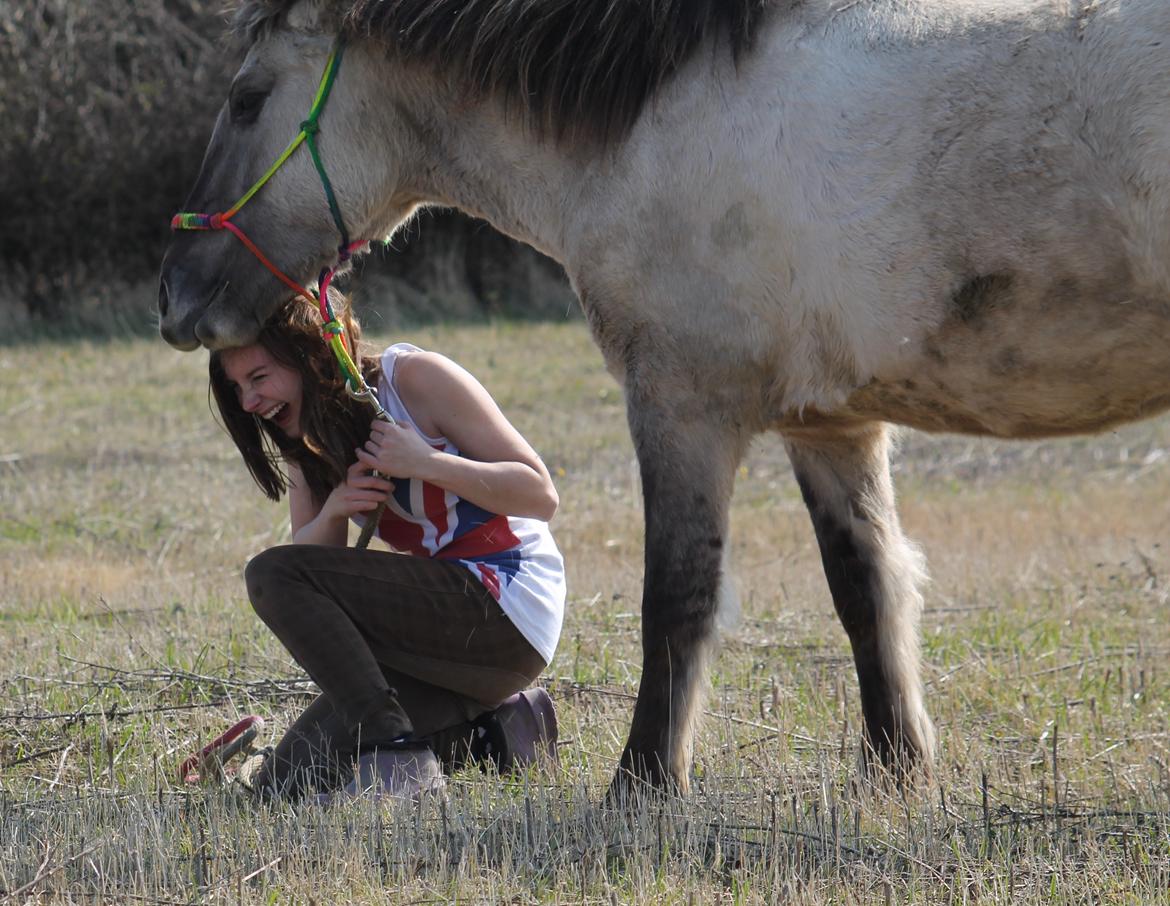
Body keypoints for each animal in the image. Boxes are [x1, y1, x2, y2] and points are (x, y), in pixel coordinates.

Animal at [160, 0, 1170, 795]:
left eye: (247, 98)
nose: (176, 297)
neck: (658, 120)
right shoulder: (830, 426)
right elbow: (868, 589)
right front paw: (896, 772)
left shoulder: (681, 408)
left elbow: (677, 599)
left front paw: (644, 783)